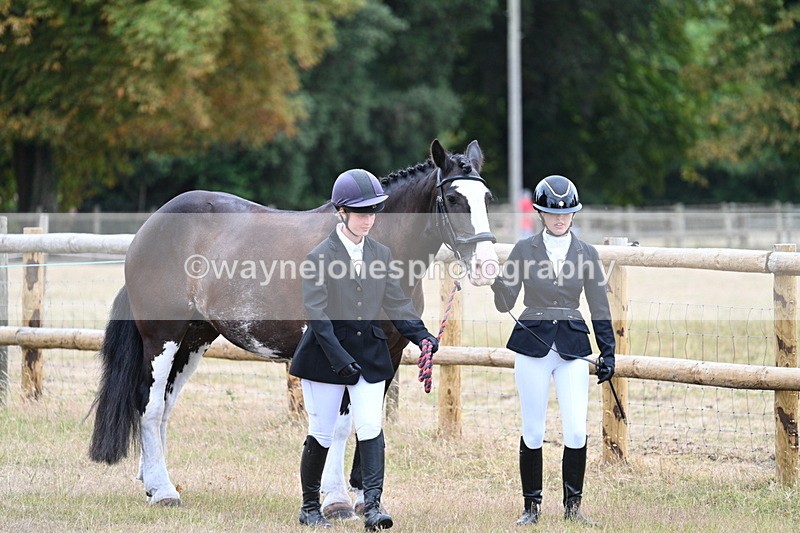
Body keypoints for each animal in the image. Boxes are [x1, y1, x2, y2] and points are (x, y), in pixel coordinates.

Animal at [89, 139, 499, 511]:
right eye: (454, 199)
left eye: (487, 198)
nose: (486, 267)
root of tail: (149, 229)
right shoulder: (342, 356)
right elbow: (338, 425)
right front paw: (336, 499)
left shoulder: (389, 354)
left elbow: (368, 422)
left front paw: (361, 496)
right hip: (164, 336)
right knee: (149, 403)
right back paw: (163, 491)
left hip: (194, 339)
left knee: (165, 405)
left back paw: (151, 481)